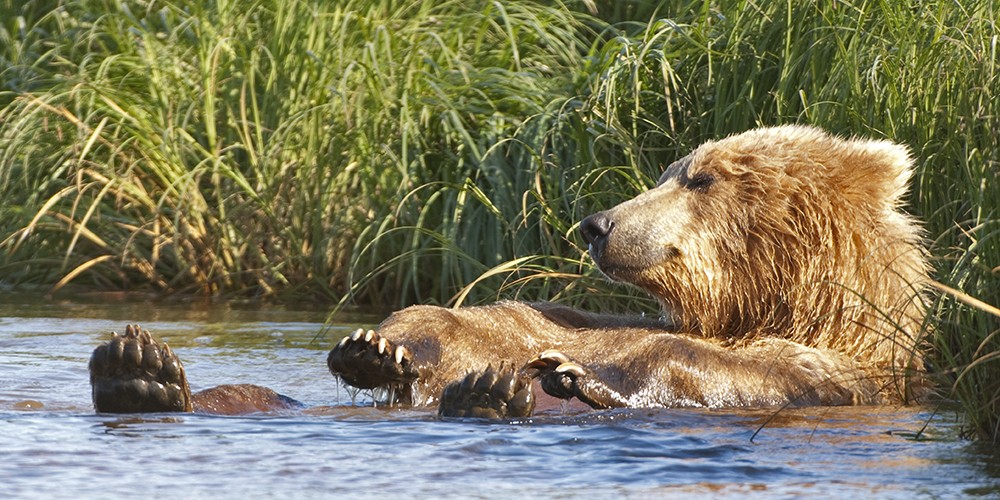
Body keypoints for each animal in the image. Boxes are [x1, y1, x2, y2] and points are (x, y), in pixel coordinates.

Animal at [89, 125, 930, 418]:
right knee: (246, 394)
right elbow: (493, 317)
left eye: (700, 178)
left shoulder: (835, 367)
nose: (598, 224)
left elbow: (718, 373)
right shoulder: (585, 317)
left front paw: (576, 379)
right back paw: (140, 372)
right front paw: (377, 347)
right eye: (670, 168)